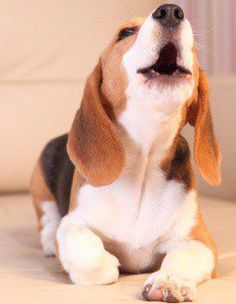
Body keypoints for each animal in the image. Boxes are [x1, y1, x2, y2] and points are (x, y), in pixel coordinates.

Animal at [30, 3, 221, 302]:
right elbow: (83, 246)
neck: (143, 163)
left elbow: (183, 257)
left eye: (193, 46)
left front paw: (169, 281)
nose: (171, 10)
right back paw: (48, 241)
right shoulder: (73, 223)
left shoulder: (200, 240)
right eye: (126, 33)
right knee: (48, 219)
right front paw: (109, 264)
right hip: (39, 181)